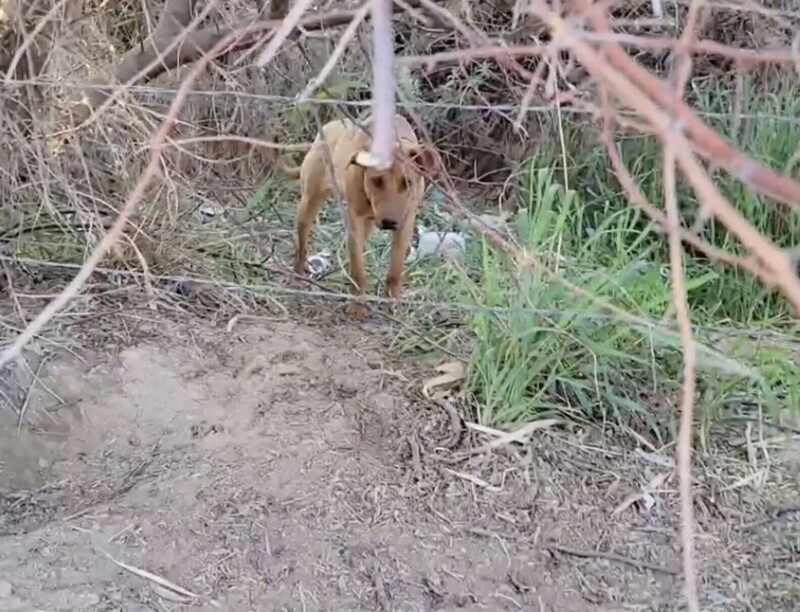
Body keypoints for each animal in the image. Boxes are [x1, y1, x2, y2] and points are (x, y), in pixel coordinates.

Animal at [276, 115, 438, 318]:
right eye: (376, 180)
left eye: (407, 183)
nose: (389, 222)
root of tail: (326, 128)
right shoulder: (354, 219)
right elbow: (358, 269)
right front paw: (358, 305)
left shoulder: (406, 222)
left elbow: (395, 271)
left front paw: (393, 303)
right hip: (308, 205)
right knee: (302, 247)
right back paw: (298, 278)